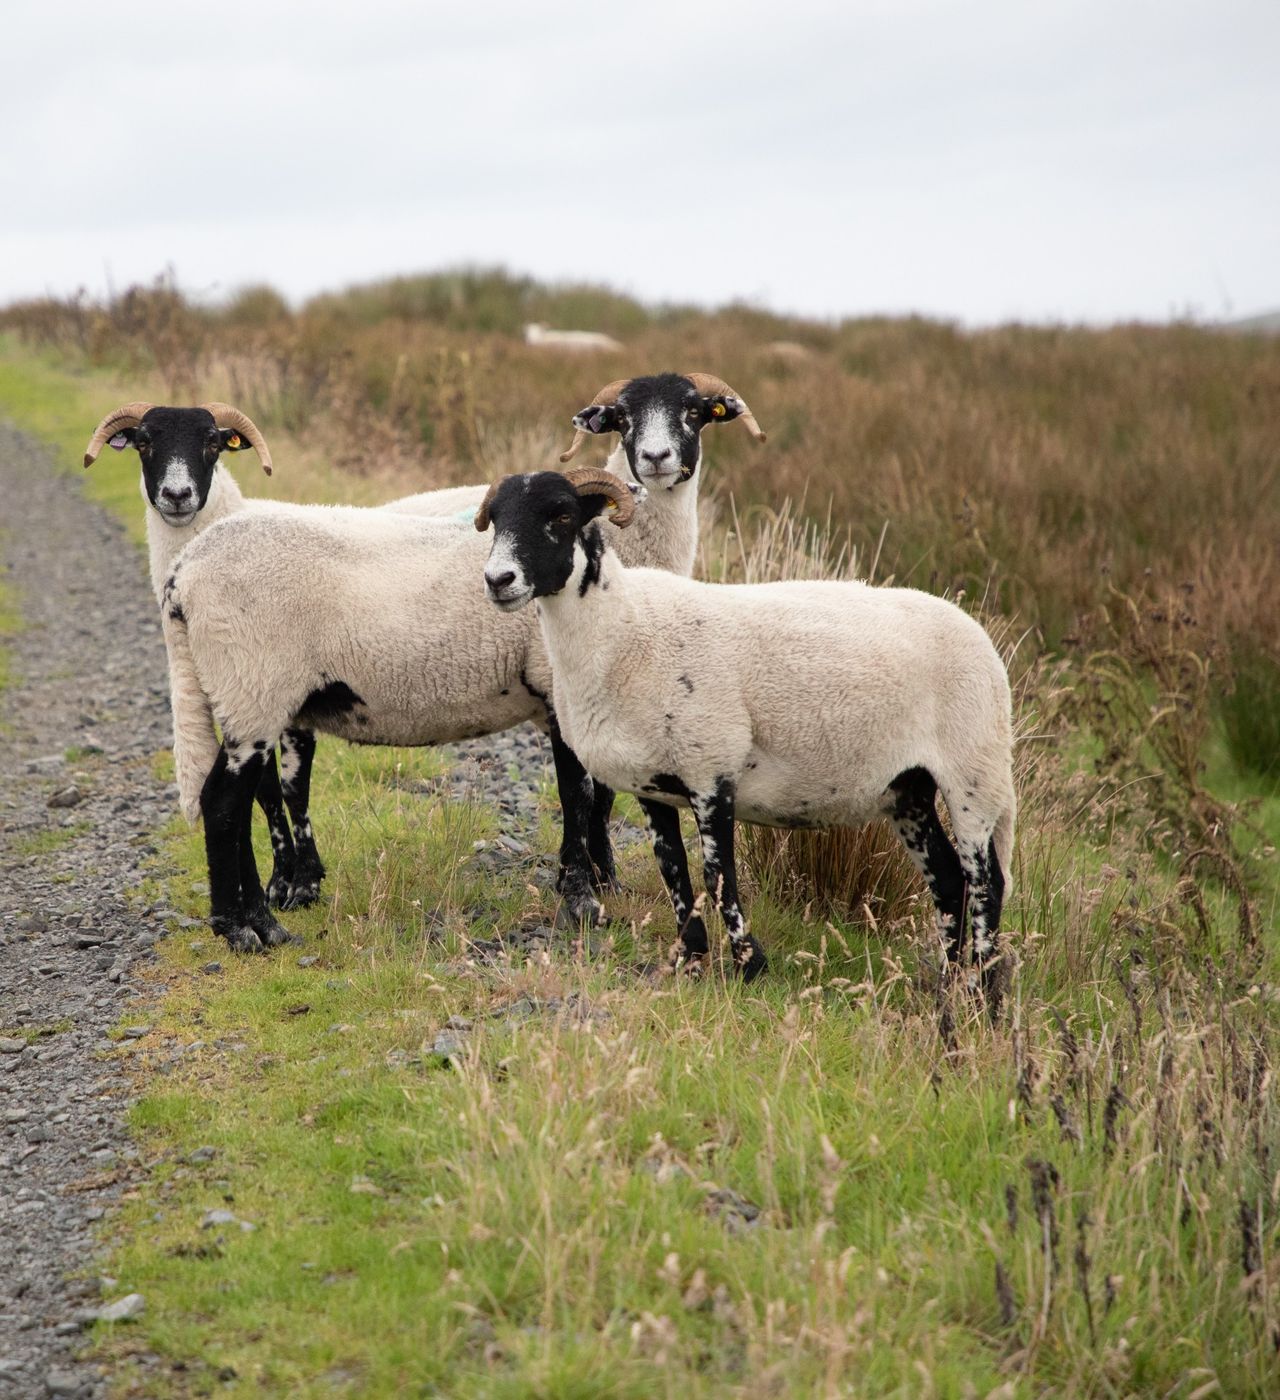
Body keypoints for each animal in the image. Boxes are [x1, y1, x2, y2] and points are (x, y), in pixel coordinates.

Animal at [157, 374, 767, 952]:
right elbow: (580, 793)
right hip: (253, 684)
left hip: (239, 691)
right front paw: (582, 896)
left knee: (235, 801)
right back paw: (245, 929)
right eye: (622, 418)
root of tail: (185, 572)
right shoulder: (557, 686)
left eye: (694, 412)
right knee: (223, 803)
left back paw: (261, 918)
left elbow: (597, 791)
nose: (655, 460)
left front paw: (596, 879)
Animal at [475, 467, 1017, 997]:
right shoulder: (653, 784)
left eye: (562, 515)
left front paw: (748, 964)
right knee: (949, 881)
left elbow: (717, 877)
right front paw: (690, 960)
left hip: (974, 773)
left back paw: (982, 990)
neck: (623, 627)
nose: (498, 580)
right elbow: (674, 872)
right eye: (496, 519)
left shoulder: (712, 770)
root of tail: (980, 636)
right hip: (911, 789)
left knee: (986, 883)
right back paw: (949, 981)